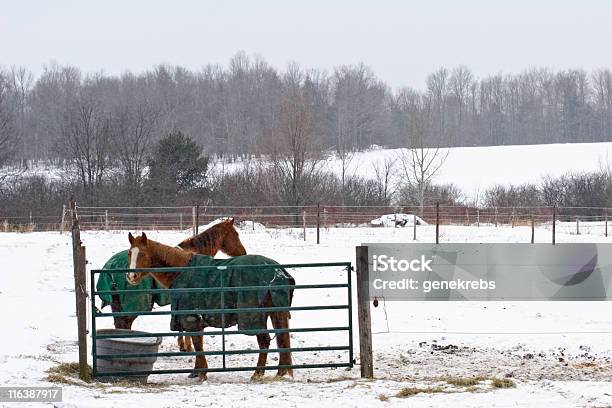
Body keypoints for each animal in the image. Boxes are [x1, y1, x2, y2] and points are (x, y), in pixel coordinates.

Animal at [125, 233, 292, 382]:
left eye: (142, 254)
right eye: (129, 253)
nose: (131, 276)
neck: (182, 271)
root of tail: (279, 271)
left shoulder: (192, 319)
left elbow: (197, 345)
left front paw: (202, 374)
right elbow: (197, 343)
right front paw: (197, 372)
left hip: (254, 318)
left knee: (264, 342)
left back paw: (257, 374)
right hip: (275, 313)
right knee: (282, 340)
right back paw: (280, 372)